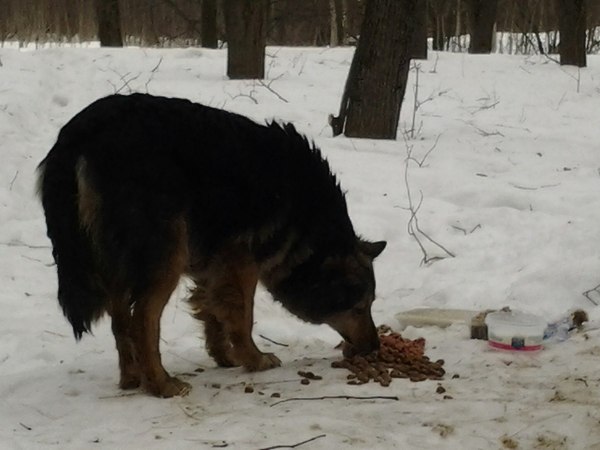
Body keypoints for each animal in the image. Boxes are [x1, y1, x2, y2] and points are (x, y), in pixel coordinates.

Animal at [37, 94, 386, 398]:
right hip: (166, 257)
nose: (375, 347)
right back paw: (161, 384)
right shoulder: (242, 263)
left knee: (120, 319)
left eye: (370, 305)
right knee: (143, 319)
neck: (310, 221)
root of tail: (80, 132)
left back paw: (132, 378)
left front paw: (225, 357)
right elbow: (242, 318)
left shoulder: (215, 266)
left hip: (117, 263)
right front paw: (254, 359)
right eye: (359, 307)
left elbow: (212, 313)